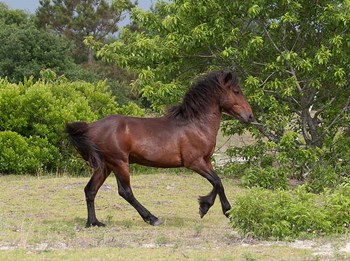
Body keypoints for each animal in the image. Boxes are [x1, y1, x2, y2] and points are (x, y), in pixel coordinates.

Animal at [65, 70, 253, 226]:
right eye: (237, 91)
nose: (250, 116)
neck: (196, 124)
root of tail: (91, 127)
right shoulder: (194, 162)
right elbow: (218, 182)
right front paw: (227, 211)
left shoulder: (206, 161)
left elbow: (216, 182)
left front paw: (204, 206)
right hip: (119, 163)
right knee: (125, 192)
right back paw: (152, 218)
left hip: (106, 166)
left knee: (90, 190)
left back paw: (94, 222)